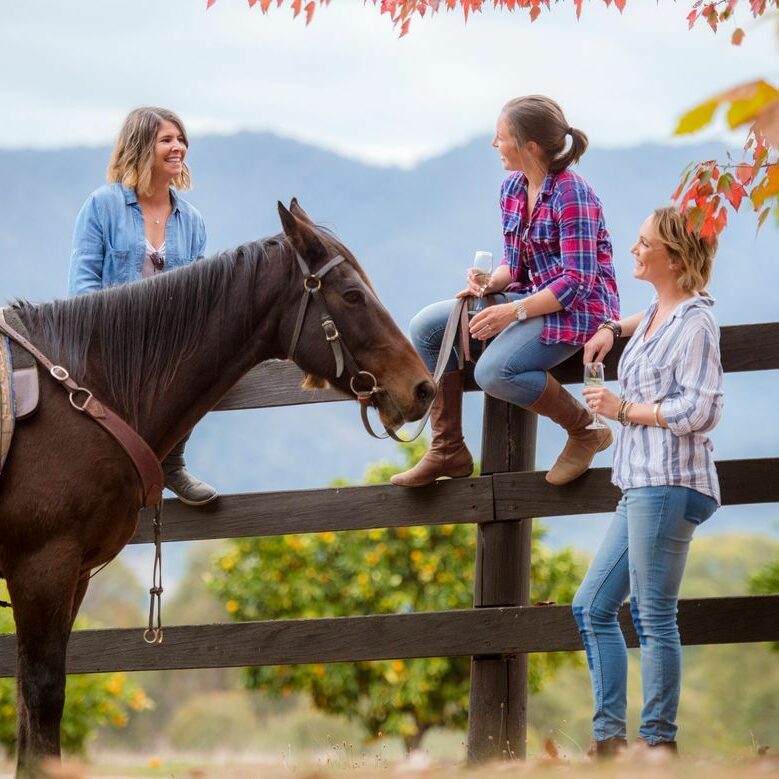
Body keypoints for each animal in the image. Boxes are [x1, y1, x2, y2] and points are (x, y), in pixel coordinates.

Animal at [0, 200, 436, 772]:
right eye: (352, 294)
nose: (422, 388)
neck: (81, 394)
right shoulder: (41, 568)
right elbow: (43, 695)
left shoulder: (71, 576)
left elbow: (30, 713)